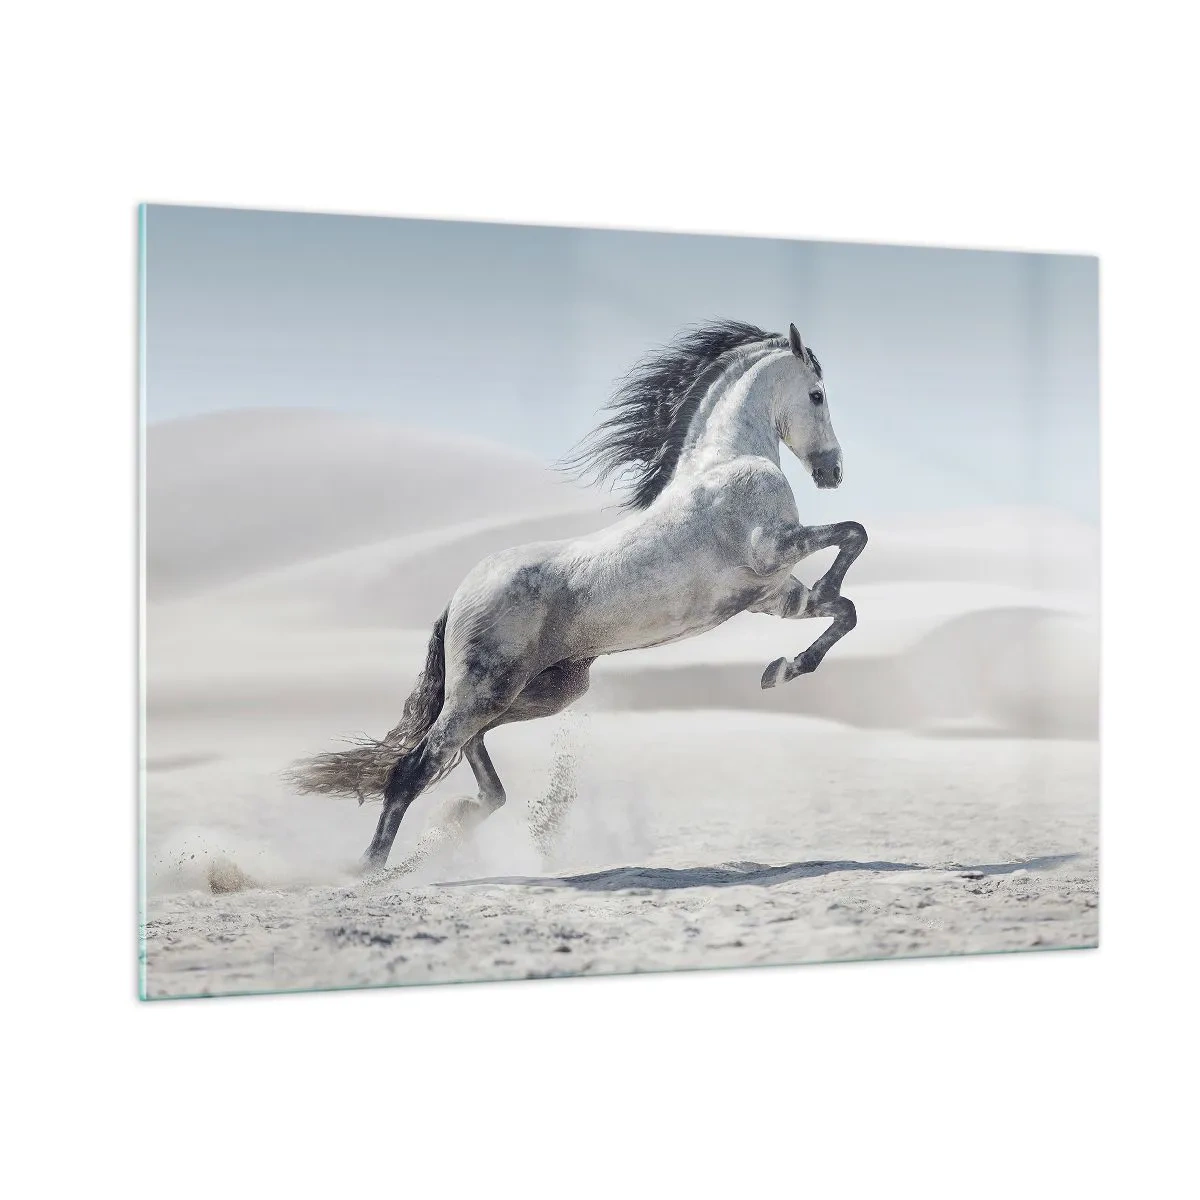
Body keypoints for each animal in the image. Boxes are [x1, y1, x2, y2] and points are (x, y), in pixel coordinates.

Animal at [288, 320, 867, 872]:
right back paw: (371, 870)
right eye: (817, 394)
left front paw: (782, 669)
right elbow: (853, 535)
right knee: (416, 766)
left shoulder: (771, 593)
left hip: (540, 692)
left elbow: (844, 610)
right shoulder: (772, 550)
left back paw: (458, 819)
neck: (727, 462)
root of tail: (458, 597)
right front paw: (805, 629)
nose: (834, 472)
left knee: (469, 753)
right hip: (488, 690)